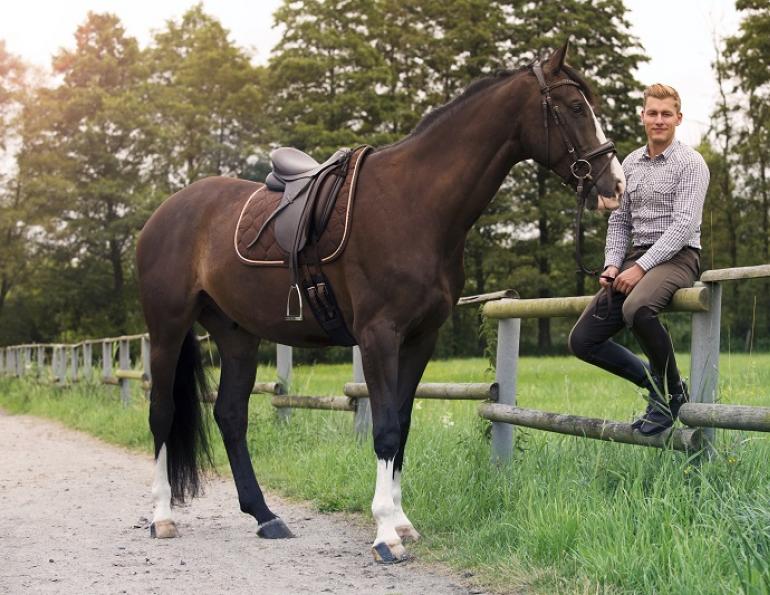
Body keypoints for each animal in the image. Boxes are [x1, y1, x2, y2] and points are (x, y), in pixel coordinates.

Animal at [136, 41, 626, 563]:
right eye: (574, 108)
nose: (614, 184)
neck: (414, 203)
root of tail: (164, 213)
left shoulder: (420, 338)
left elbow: (403, 424)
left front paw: (402, 522)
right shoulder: (378, 336)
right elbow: (386, 427)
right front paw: (386, 534)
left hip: (238, 336)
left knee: (230, 416)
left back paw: (265, 516)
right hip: (168, 330)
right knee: (163, 412)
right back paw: (162, 517)